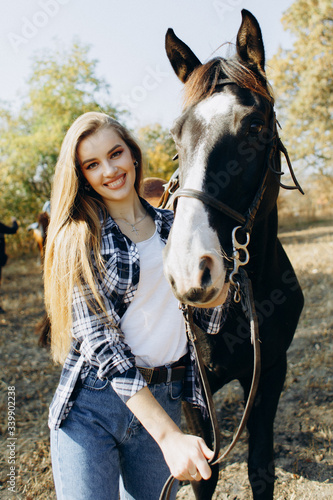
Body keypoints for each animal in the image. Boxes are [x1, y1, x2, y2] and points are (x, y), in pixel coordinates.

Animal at [163, 8, 304, 500]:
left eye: (256, 127)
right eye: (176, 135)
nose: (190, 269)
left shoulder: (269, 375)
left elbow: (261, 468)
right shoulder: (192, 392)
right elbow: (204, 474)